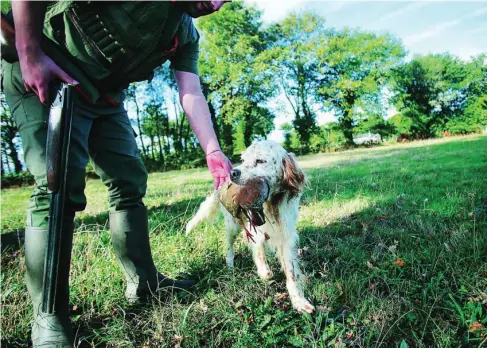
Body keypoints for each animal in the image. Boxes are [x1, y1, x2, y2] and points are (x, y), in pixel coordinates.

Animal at [185, 141, 314, 312]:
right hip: (232, 225)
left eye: (260, 161)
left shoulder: (286, 237)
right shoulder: (256, 231)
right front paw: (264, 272)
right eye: (243, 160)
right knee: (229, 245)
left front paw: (299, 301)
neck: (271, 205)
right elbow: (259, 254)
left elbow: (291, 272)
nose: (233, 173)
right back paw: (230, 264)